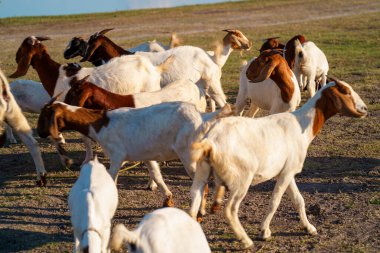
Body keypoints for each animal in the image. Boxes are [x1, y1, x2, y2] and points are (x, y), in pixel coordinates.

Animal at [190, 78, 368, 248]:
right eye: (345, 91)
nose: (365, 109)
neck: (302, 126)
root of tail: (211, 141)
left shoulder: (287, 172)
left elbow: (298, 200)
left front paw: (309, 228)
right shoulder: (286, 173)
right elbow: (275, 202)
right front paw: (264, 231)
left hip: (202, 172)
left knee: (193, 205)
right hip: (242, 178)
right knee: (230, 210)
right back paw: (246, 241)